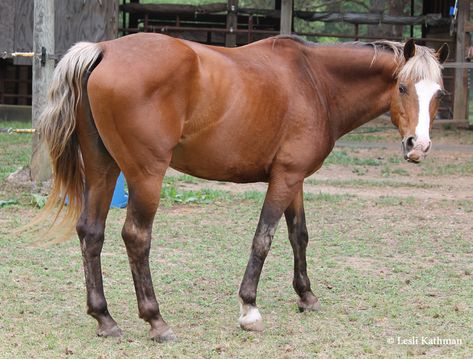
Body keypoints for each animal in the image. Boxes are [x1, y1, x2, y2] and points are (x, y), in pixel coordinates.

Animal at [37, 33, 446, 344]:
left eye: (438, 93)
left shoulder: (293, 178)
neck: (315, 81)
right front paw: (249, 308)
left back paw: (104, 318)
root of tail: (104, 49)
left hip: (102, 170)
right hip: (145, 175)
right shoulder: (284, 179)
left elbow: (299, 235)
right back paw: (156, 320)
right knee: (136, 237)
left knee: (91, 232)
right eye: (403, 87)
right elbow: (263, 239)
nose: (419, 146)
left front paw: (306, 296)